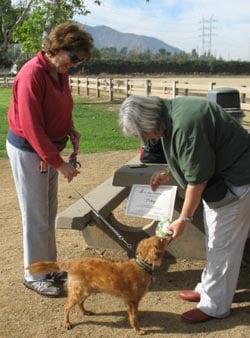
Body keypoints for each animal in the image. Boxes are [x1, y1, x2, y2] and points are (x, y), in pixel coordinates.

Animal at [28, 236, 169, 334]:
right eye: (162, 239)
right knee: (66, 307)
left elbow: (132, 315)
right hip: (78, 291)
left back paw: (85, 312)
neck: (142, 265)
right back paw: (67, 323)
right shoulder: (132, 301)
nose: (169, 235)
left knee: (80, 303)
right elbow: (134, 317)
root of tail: (73, 262)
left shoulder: (130, 302)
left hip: (86, 291)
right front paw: (138, 330)